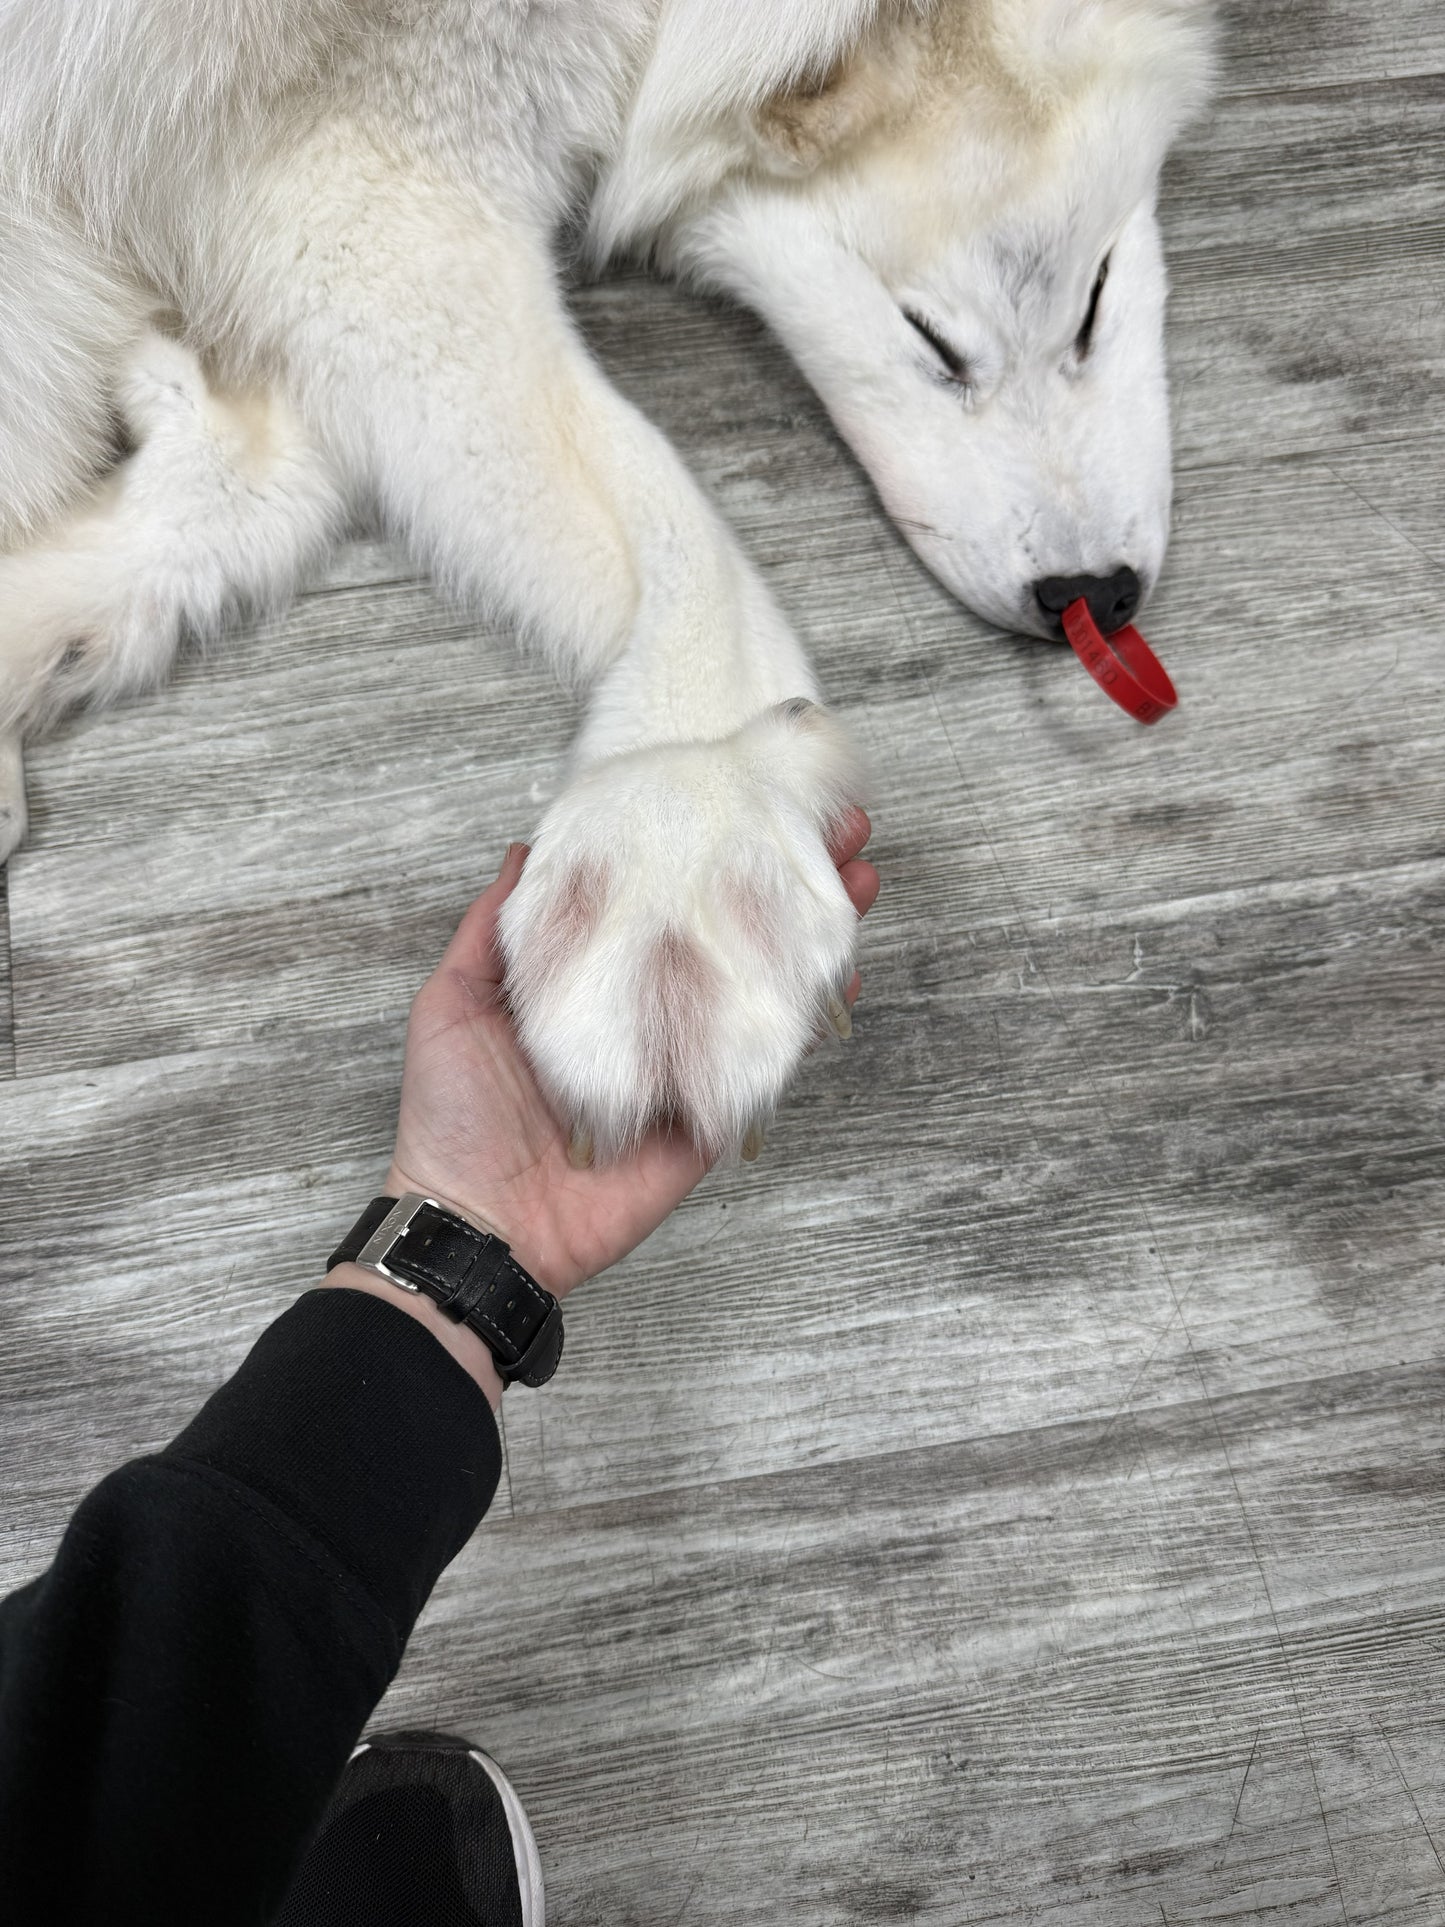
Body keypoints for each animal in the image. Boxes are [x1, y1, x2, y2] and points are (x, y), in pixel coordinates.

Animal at [0, 0, 1214, 1153]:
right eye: (934, 342)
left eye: (1095, 299)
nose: (1096, 597)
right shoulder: (374, 203)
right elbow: (686, 539)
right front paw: (694, 808)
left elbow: (258, 471)